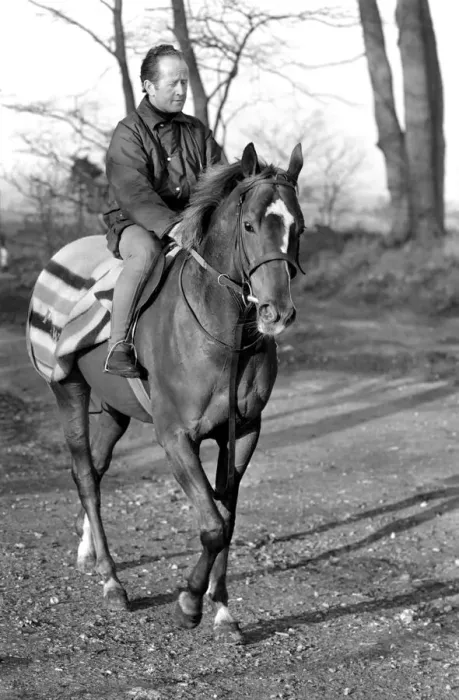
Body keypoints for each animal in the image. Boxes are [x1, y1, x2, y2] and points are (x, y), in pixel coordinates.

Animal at [27, 142, 305, 643]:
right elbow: (212, 524)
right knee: (85, 476)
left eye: (300, 227)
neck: (220, 332)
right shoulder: (176, 437)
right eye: (250, 225)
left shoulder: (243, 433)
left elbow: (227, 519)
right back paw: (112, 581)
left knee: (96, 469)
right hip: (68, 390)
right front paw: (190, 603)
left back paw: (89, 552)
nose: (277, 312)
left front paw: (223, 611)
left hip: (113, 410)